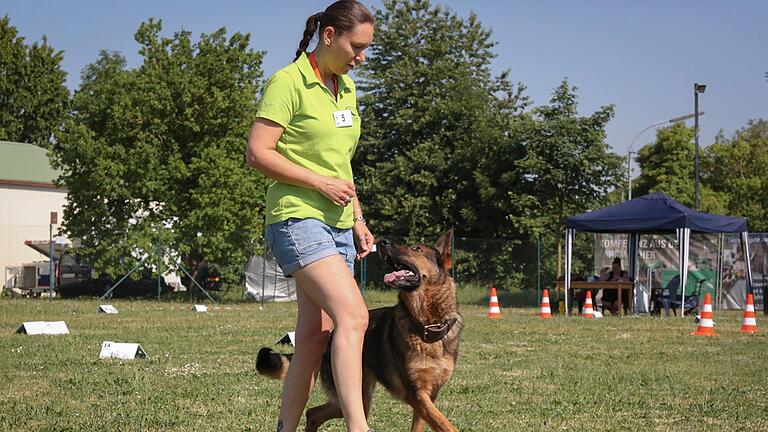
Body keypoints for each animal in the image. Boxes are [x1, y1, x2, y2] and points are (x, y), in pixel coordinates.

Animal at [258, 231, 462, 430]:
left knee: (313, 413)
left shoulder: (428, 396)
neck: (428, 325)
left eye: (416, 249)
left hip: (358, 398)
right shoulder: (417, 395)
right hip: (359, 397)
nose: (382, 242)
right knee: (314, 412)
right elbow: (447, 425)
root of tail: (331, 337)